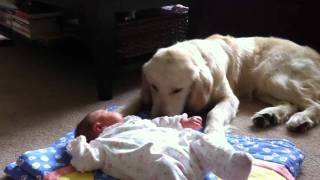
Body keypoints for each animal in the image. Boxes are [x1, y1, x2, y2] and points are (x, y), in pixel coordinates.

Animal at [123, 34, 320, 134]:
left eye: (178, 90)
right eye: (154, 87)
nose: (157, 118)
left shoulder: (229, 98)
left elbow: (214, 113)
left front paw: (212, 135)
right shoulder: (143, 94)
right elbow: (128, 105)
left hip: (274, 77)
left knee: (314, 103)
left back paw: (301, 119)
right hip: (264, 87)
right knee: (290, 103)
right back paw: (268, 116)